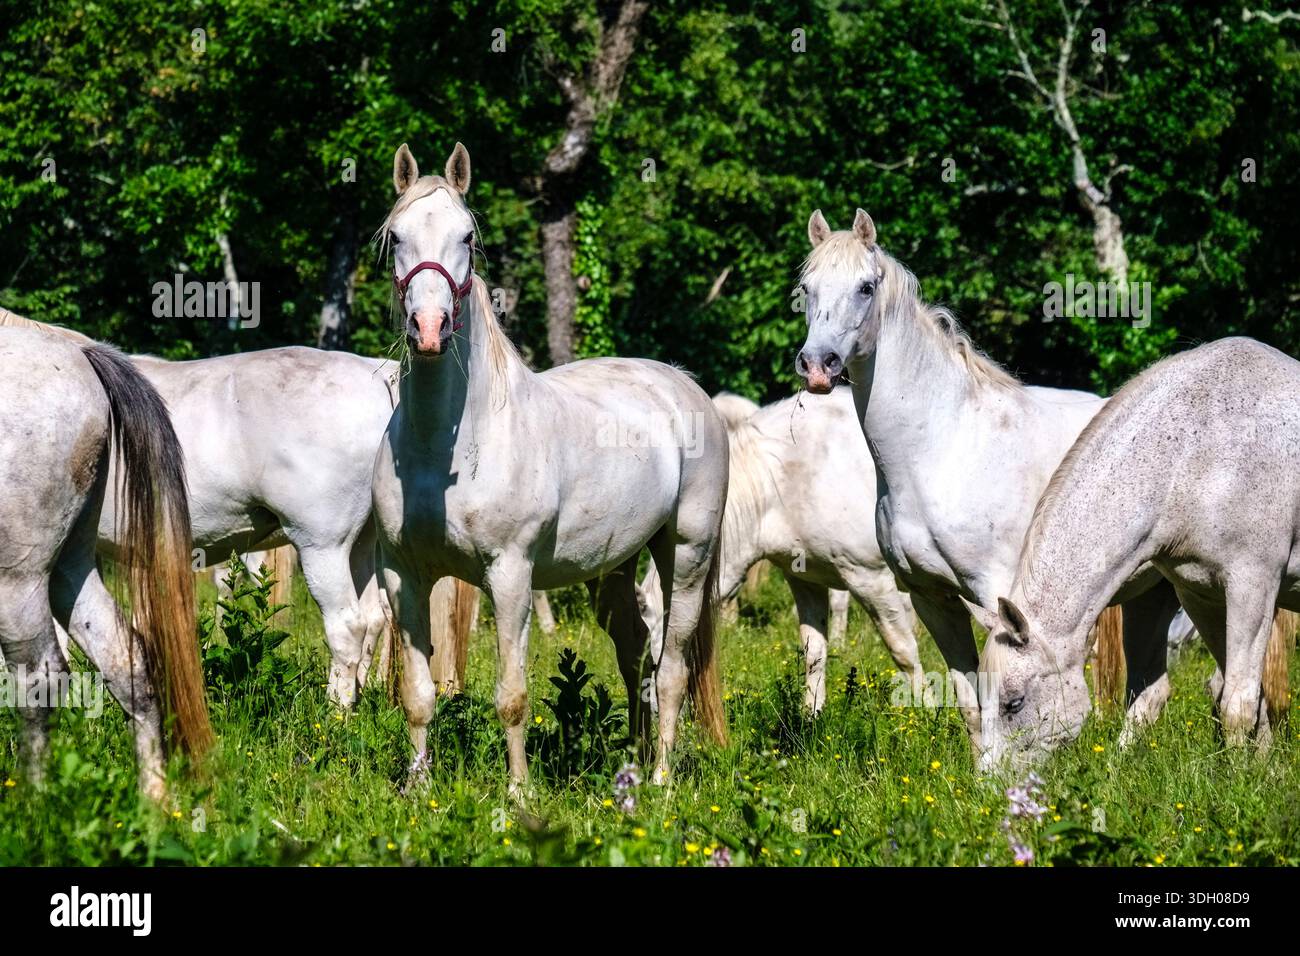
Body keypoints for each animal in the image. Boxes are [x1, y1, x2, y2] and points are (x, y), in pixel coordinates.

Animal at [0, 324, 211, 800]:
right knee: (125, 657)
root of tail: (80, 353)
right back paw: (154, 800)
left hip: (17, 579)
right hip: (69, 567)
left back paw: (31, 805)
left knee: (42, 678)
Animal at [371, 142, 728, 789]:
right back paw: (633, 763)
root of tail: (683, 385)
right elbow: (418, 694)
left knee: (671, 668)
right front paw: (417, 788)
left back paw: (661, 780)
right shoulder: (402, 574)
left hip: (686, 555)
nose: (430, 329)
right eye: (397, 236)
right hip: (616, 564)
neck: (446, 450)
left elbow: (511, 695)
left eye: (467, 237)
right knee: (635, 651)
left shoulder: (510, 574)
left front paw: (517, 794)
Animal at [639, 387, 921, 712]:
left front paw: (925, 711)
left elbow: (904, 651)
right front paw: (812, 715)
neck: (785, 479)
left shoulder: (871, 578)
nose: (654, 705)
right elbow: (814, 653)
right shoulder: (805, 580)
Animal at [791, 208, 1191, 745]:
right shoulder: (931, 597)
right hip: (1155, 591)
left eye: (866, 287)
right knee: (1151, 689)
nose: (818, 366)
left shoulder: (1001, 595)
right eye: (807, 288)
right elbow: (969, 701)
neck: (944, 447)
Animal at [979, 337, 1300, 769]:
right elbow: (1241, 693)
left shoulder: (1254, 585)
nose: (988, 783)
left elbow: (1238, 702)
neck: (1197, 449)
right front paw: (1263, 769)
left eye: (1013, 704)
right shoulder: (1203, 593)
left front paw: (1241, 778)